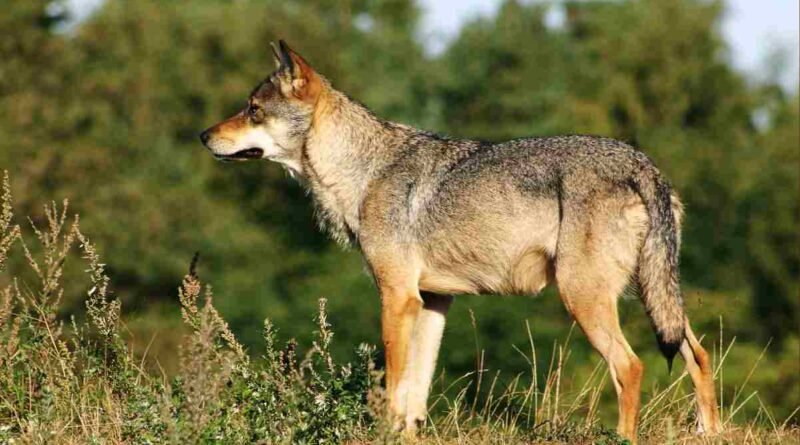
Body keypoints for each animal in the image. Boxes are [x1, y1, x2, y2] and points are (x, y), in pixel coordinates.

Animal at [200, 41, 722, 442]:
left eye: (252, 110)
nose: (203, 135)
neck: (362, 172)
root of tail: (643, 165)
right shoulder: (432, 302)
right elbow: (415, 391)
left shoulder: (397, 298)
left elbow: (394, 383)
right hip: (652, 296)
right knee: (698, 354)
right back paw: (710, 431)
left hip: (585, 299)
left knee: (631, 367)